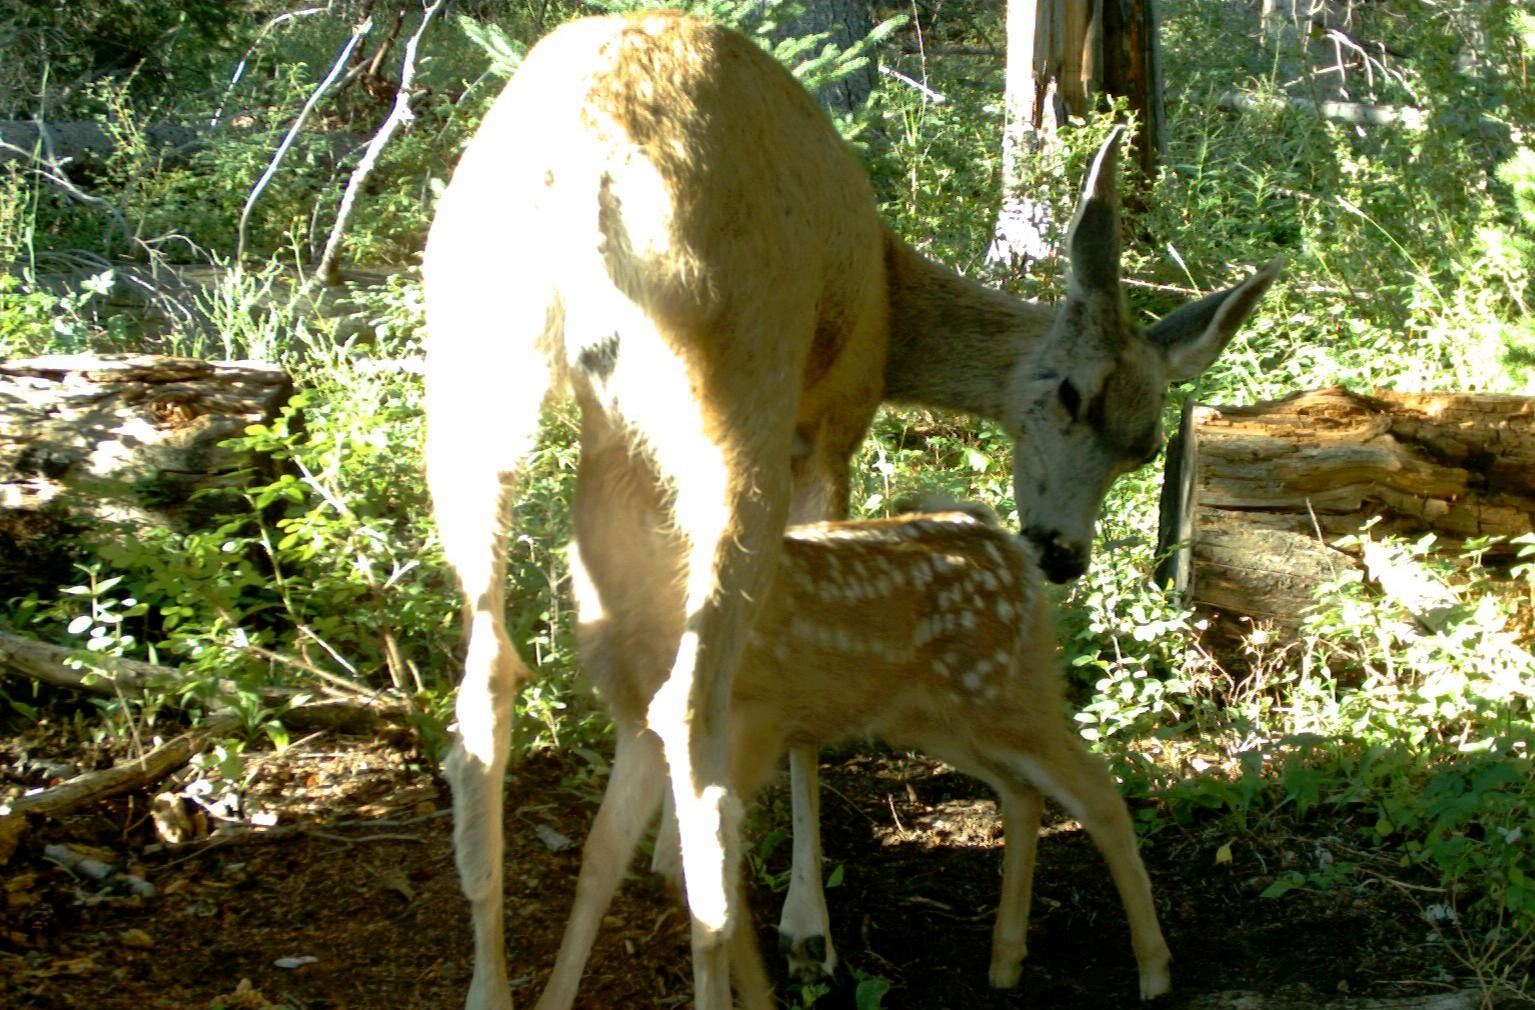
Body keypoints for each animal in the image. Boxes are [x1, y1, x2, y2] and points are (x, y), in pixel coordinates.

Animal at [538, 503, 1171, 1007]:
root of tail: (1015, 551)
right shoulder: (643, 732)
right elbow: (603, 856)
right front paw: (551, 999)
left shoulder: (749, 725)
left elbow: (701, 879)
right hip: (933, 714)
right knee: (1023, 791)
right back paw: (1005, 962)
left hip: (1002, 691)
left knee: (1097, 788)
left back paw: (1154, 970)